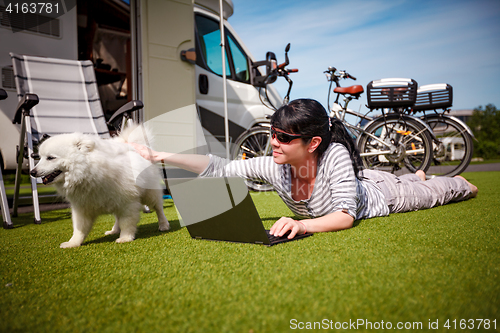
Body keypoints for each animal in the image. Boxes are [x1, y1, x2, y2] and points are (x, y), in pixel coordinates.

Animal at [32, 126, 172, 248]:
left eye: (50, 158)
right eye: (40, 157)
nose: (32, 172)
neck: (88, 171)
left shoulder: (128, 203)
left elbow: (127, 222)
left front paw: (125, 238)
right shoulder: (81, 208)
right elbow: (79, 229)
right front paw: (73, 243)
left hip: (150, 194)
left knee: (158, 208)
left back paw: (163, 225)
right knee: (117, 218)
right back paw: (114, 230)